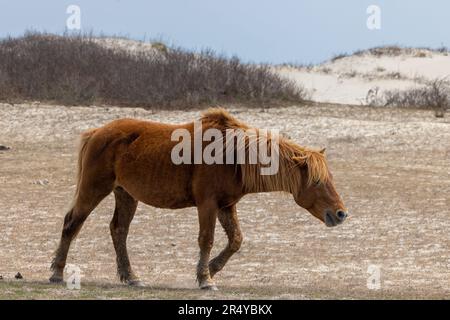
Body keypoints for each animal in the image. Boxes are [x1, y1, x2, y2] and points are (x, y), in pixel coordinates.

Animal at [49, 108, 346, 290]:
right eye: (317, 182)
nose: (341, 213)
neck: (232, 156)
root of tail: (97, 132)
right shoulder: (208, 204)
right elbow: (207, 239)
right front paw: (205, 279)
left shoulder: (226, 205)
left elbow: (236, 240)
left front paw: (212, 269)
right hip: (94, 189)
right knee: (72, 224)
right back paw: (56, 273)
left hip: (126, 194)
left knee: (118, 231)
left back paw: (131, 277)